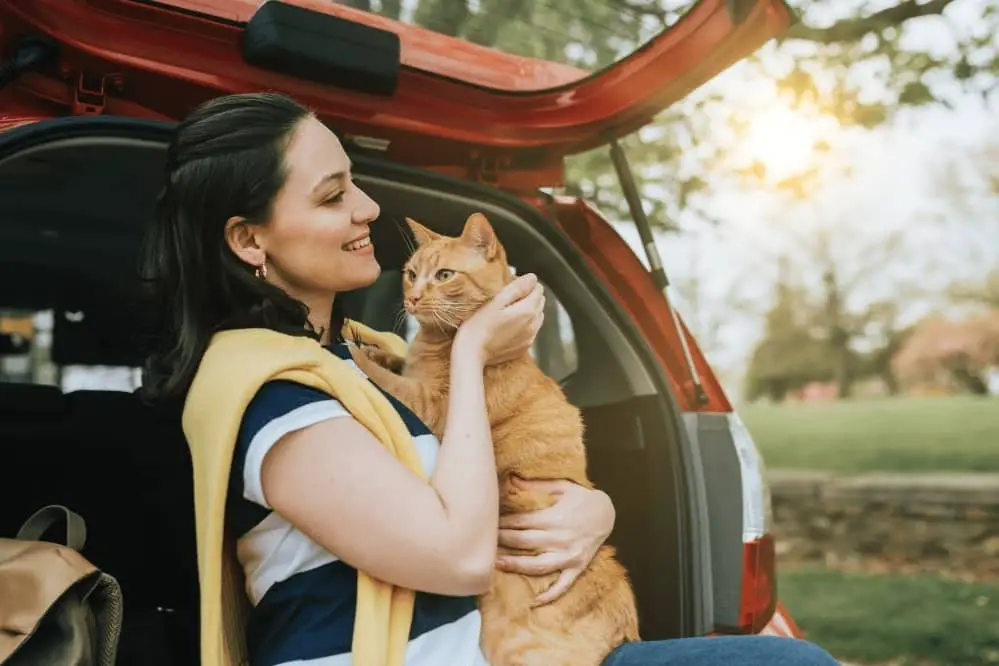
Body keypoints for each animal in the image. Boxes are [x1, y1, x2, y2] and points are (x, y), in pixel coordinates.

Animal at [348, 210, 640, 660]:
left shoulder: (432, 407)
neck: (439, 341)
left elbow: (384, 378)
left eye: (444, 275)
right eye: (411, 274)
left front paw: (354, 351)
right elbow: (395, 359)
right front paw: (372, 343)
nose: (413, 298)